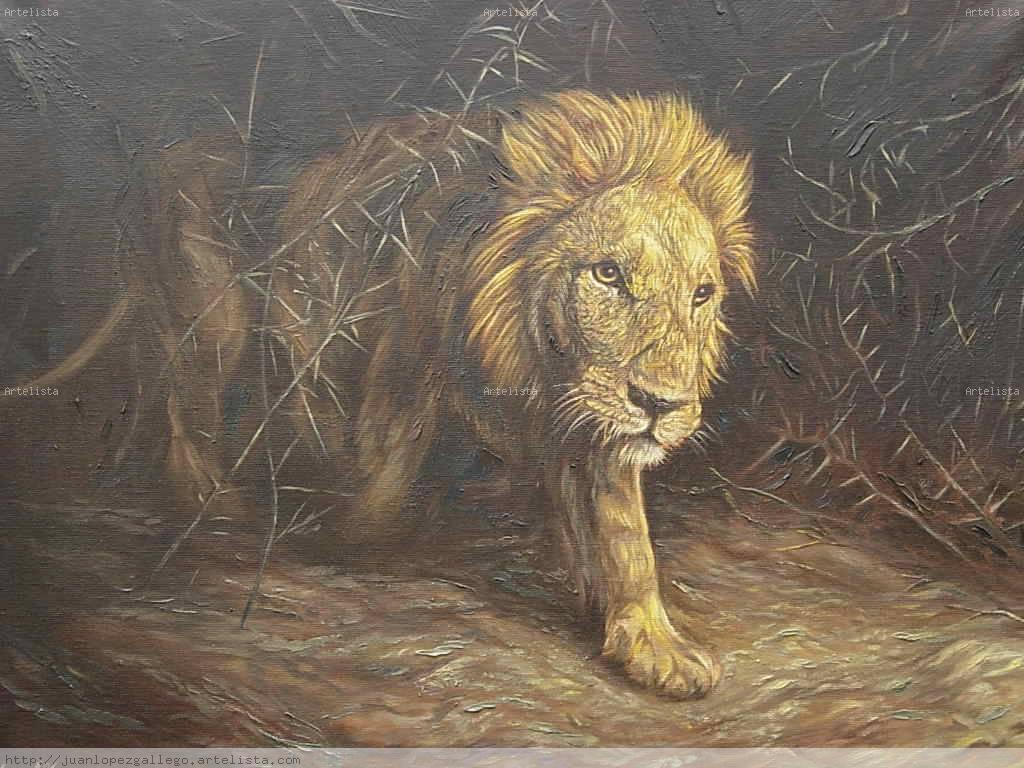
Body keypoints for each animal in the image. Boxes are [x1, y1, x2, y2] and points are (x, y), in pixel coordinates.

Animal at [15, 90, 754, 699]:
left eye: (701, 294)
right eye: (607, 275)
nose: (661, 405)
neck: (532, 353)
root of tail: (156, 164)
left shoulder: (595, 419)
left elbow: (627, 537)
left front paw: (653, 645)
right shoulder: (398, 361)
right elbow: (383, 473)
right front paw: (357, 540)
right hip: (213, 326)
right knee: (183, 414)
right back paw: (215, 505)